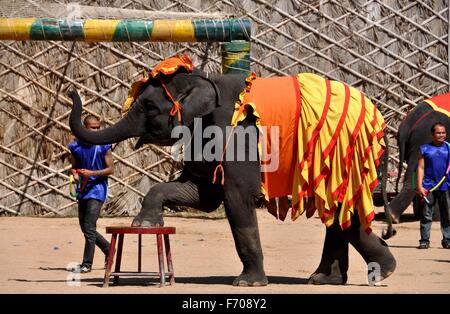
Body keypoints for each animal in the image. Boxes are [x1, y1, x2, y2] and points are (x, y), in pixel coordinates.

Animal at [68, 54, 396, 288]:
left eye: (148, 107)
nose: (72, 90)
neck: (204, 79)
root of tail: (380, 117)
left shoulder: (237, 135)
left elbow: (236, 198)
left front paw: (247, 284)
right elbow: (201, 194)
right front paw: (144, 224)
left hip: (347, 153)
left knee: (342, 210)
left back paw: (380, 272)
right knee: (339, 210)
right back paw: (330, 279)